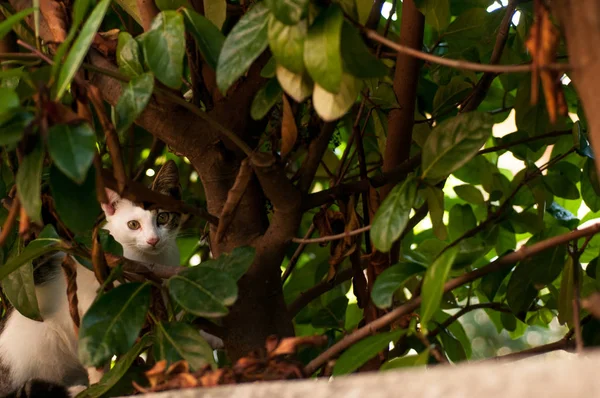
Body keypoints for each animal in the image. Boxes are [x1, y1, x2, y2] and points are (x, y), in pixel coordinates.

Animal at [0, 160, 213, 396]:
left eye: (163, 218)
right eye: (133, 225)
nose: (153, 240)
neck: (147, 260)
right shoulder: (89, 307)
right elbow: (95, 355)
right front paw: (99, 384)